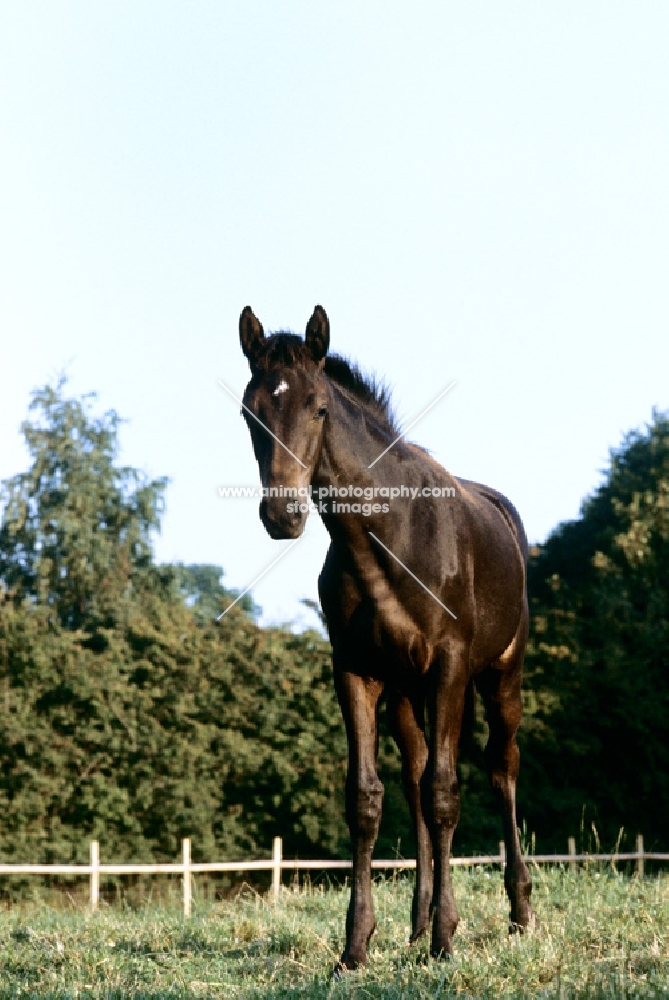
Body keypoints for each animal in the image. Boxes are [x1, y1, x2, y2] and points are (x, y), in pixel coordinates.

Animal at [237, 306, 536, 968]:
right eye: (249, 410)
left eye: (320, 407)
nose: (282, 517)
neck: (387, 535)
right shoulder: (355, 670)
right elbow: (368, 799)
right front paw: (357, 945)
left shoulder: (449, 666)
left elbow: (447, 792)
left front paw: (448, 940)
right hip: (404, 692)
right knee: (415, 777)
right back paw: (418, 924)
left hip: (500, 675)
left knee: (500, 769)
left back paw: (519, 912)